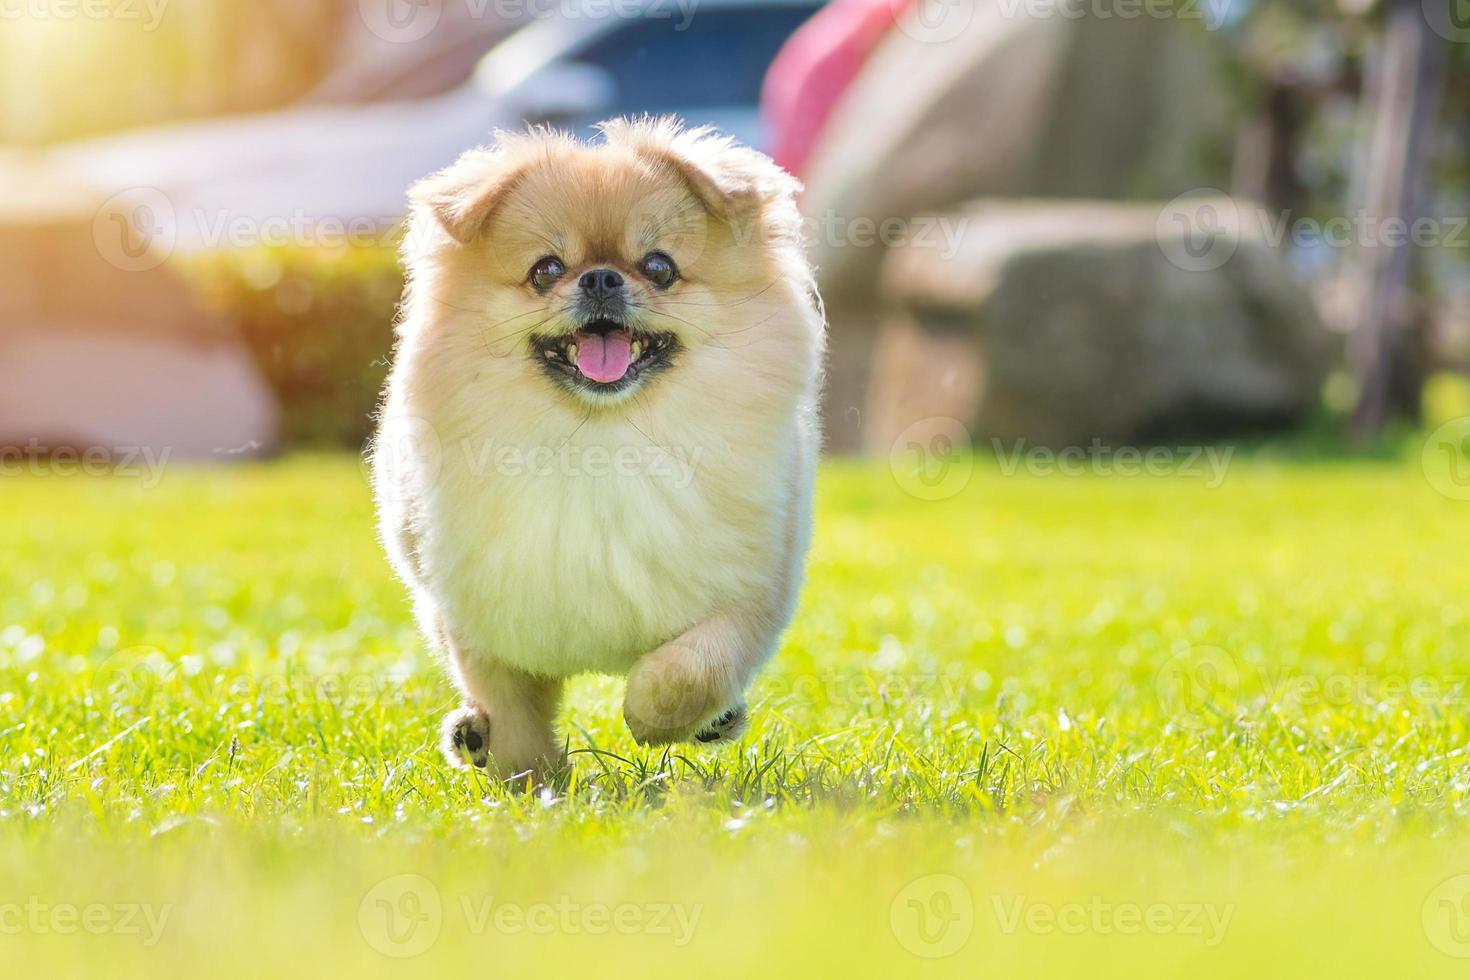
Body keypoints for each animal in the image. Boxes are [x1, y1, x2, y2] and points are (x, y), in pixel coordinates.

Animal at [370, 116, 829, 781]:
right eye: (545, 270)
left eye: (659, 267)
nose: (602, 277)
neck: (602, 439)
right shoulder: (480, 614)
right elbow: (511, 708)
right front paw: (532, 781)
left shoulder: (752, 593)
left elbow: (695, 666)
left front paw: (652, 717)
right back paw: (472, 735)